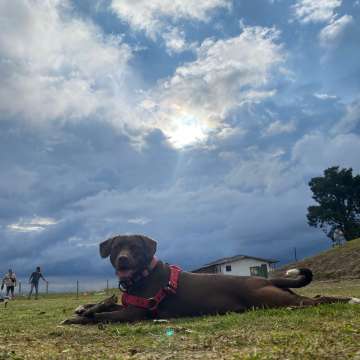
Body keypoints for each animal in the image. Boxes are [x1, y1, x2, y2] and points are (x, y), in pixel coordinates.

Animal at [62, 235, 360, 324]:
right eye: (116, 248)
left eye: (134, 248)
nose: (123, 259)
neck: (142, 276)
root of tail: (265, 281)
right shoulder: (128, 305)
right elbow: (102, 307)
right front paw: (84, 308)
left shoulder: (135, 313)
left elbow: (102, 317)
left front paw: (81, 317)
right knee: (313, 297)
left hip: (269, 299)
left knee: (314, 301)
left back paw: (345, 298)